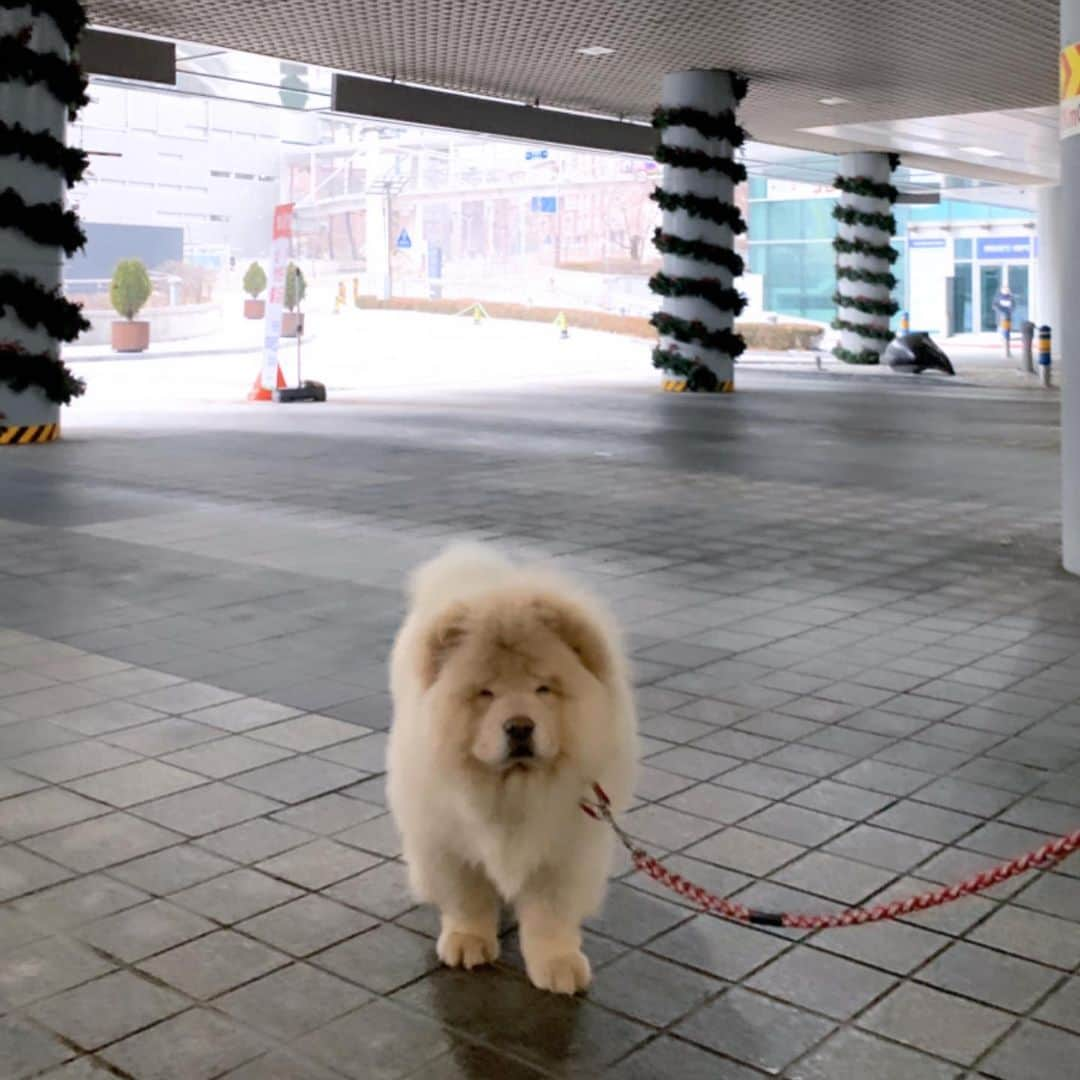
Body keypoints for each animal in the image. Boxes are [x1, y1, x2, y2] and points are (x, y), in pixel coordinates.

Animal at [388, 544, 635, 989]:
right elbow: (466, 897)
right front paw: (467, 942)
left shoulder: (565, 847)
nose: (519, 726)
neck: (513, 791)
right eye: (485, 693)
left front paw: (557, 964)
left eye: (543, 689)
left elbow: (550, 914)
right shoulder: (448, 840)